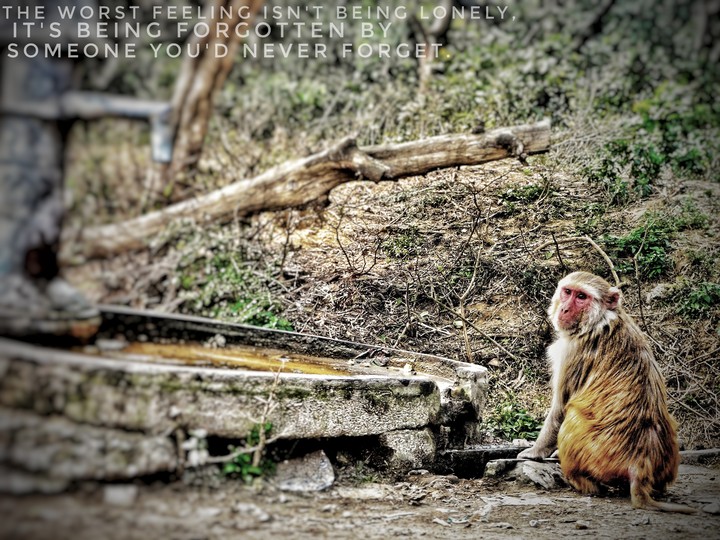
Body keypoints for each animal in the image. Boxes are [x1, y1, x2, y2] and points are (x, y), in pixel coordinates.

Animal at [518, 271, 697, 513]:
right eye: (567, 292)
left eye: (581, 297)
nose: (564, 309)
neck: (600, 319)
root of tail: (639, 464)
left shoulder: (572, 351)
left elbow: (560, 408)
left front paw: (536, 451)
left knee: (572, 415)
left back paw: (580, 482)